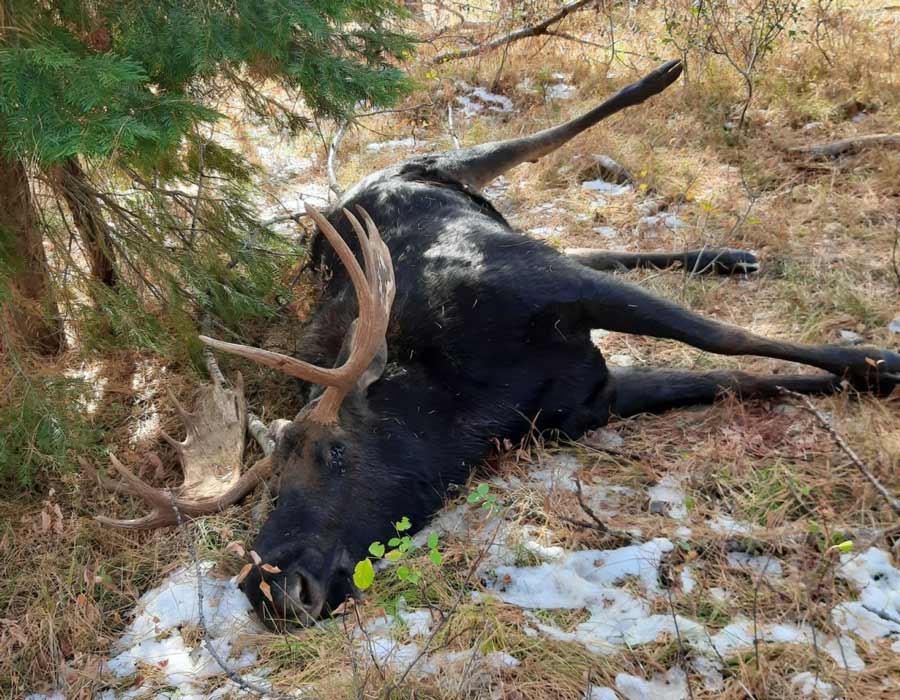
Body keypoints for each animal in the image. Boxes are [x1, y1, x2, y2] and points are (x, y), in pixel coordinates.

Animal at [90, 60, 899, 628]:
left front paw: (882, 359)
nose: (268, 588)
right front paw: (861, 373)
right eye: (270, 485)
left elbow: (728, 337)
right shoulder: (593, 397)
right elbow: (741, 375)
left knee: (537, 145)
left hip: (455, 169)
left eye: (335, 453)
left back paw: (660, 77)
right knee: (596, 244)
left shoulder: (555, 288)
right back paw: (725, 254)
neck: (473, 400)